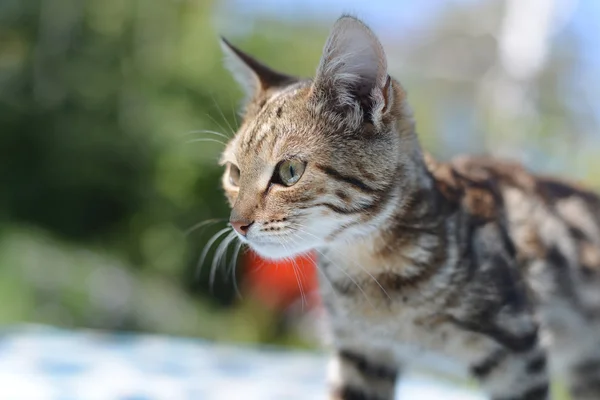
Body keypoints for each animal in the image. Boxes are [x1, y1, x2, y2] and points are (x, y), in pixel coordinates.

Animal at [216, 14, 600, 400]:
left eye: (290, 171)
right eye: (235, 173)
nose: (237, 223)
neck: (369, 271)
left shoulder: (518, 354)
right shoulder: (361, 353)